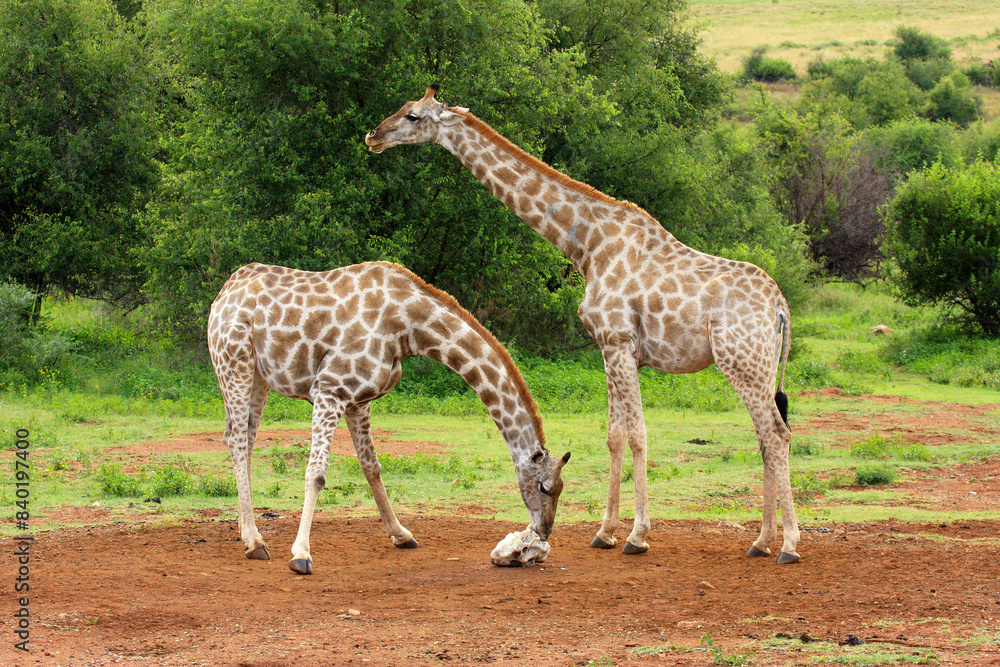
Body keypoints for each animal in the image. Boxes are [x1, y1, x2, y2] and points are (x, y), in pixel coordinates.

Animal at [207, 261, 570, 575]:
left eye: (561, 489)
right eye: (544, 487)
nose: (543, 532)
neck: (407, 325)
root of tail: (223, 292)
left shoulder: (358, 399)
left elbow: (372, 467)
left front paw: (401, 534)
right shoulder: (329, 388)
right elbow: (317, 474)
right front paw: (301, 555)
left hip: (259, 375)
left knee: (245, 437)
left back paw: (249, 536)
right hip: (234, 362)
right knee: (237, 438)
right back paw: (255, 542)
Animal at [366, 85, 799, 563]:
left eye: (412, 115)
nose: (373, 136)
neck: (587, 243)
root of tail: (780, 306)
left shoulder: (618, 341)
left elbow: (638, 434)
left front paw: (637, 536)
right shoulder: (609, 348)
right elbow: (614, 435)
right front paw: (605, 533)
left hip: (741, 362)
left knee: (777, 434)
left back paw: (788, 544)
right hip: (758, 366)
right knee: (765, 437)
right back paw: (761, 541)